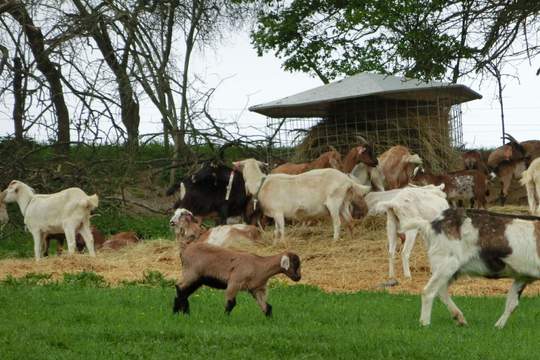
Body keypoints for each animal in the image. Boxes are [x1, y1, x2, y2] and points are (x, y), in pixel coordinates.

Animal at [172, 208, 302, 316]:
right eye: (294, 264)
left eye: (183, 214)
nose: (298, 277)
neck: (260, 264)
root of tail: (185, 250)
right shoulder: (234, 283)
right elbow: (230, 303)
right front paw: (224, 319)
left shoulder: (257, 289)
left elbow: (267, 307)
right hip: (191, 273)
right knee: (180, 288)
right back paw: (182, 312)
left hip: (198, 278)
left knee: (183, 291)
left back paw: (180, 312)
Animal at [232, 159, 372, 243]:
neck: (260, 184)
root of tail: (347, 180)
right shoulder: (275, 213)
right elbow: (276, 230)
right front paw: (275, 243)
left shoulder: (278, 212)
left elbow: (281, 229)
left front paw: (283, 243)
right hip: (343, 203)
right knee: (350, 220)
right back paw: (352, 237)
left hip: (334, 201)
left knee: (337, 222)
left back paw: (335, 240)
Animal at [400, 208, 540, 330]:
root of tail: (430, 225)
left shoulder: (522, 277)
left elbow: (511, 303)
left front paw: (498, 327)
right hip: (447, 263)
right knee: (428, 291)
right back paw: (425, 324)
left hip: (450, 269)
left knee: (441, 290)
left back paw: (459, 318)